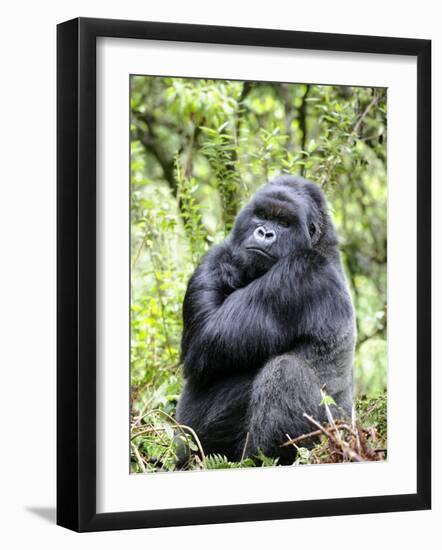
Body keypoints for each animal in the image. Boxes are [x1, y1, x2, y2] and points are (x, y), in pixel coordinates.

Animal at [176, 177, 356, 466]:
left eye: (284, 223)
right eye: (261, 215)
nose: (264, 233)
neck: (320, 244)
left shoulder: (300, 271)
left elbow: (205, 339)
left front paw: (226, 262)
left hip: (331, 438)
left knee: (285, 371)